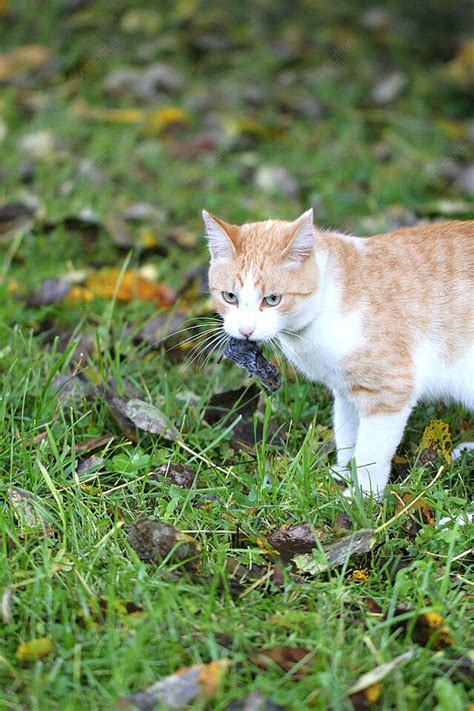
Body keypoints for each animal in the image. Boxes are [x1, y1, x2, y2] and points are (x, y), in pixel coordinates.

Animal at [204, 209, 474, 498]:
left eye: (273, 299)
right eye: (230, 297)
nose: (246, 331)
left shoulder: (389, 390)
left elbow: (370, 453)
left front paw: (362, 496)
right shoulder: (345, 390)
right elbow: (347, 434)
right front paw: (343, 472)